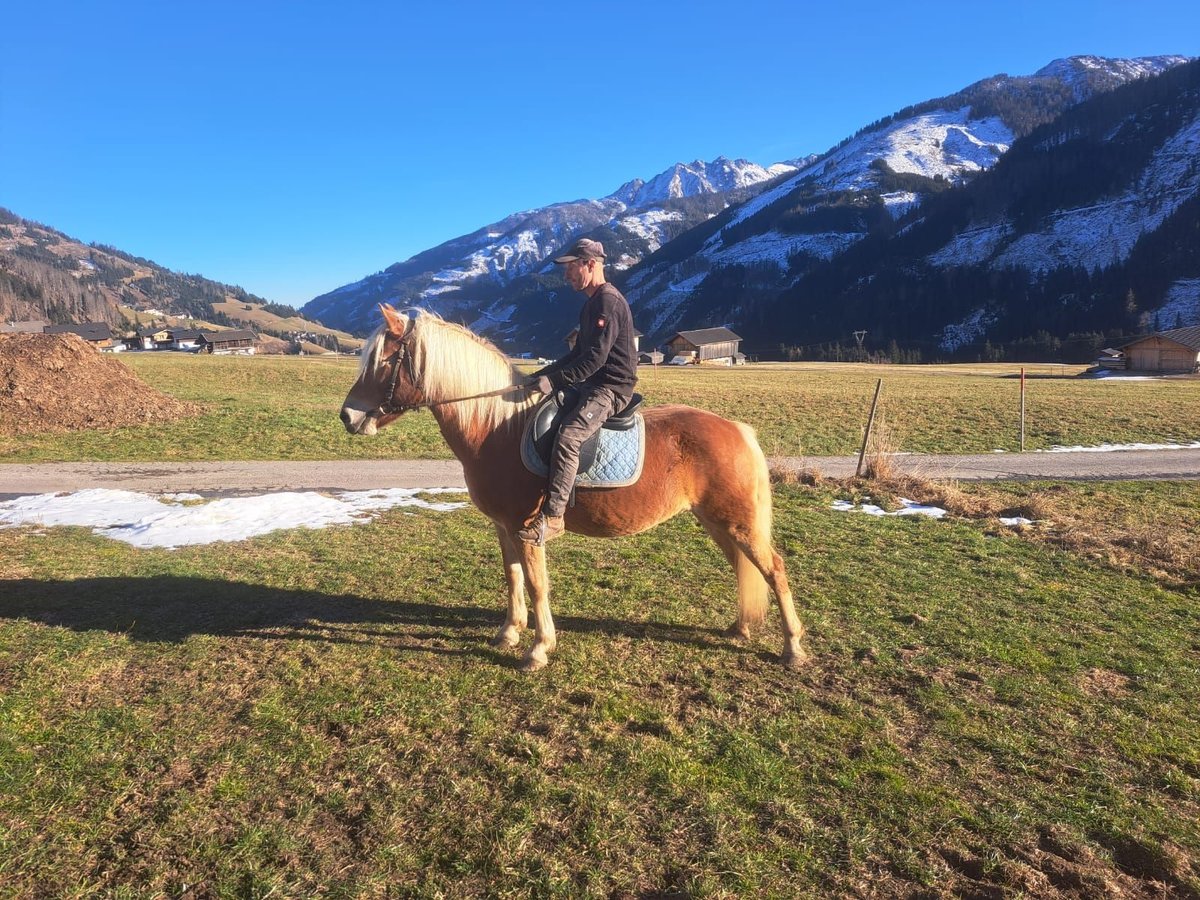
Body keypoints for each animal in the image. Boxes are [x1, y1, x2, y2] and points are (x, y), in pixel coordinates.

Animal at [338, 307, 806, 672]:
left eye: (383, 360)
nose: (346, 417)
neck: (498, 429)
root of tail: (737, 429)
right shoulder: (504, 528)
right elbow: (512, 578)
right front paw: (509, 633)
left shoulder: (527, 529)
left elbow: (537, 584)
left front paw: (539, 649)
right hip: (718, 522)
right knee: (744, 568)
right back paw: (741, 629)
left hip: (738, 522)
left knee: (774, 569)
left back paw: (793, 648)